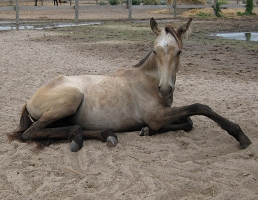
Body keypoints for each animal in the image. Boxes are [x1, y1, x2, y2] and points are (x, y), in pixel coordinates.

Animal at [7, 18, 251, 152]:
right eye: (155, 50)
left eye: (179, 52)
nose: (165, 89)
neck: (149, 80)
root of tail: (29, 100)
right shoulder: (157, 115)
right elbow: (200, 107)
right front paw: (240, 135)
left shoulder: (164, 113)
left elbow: (189, 121)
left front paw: (146, 130)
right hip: (71, 98)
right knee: (30, 133)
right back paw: (80, 137)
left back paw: (106, 134)